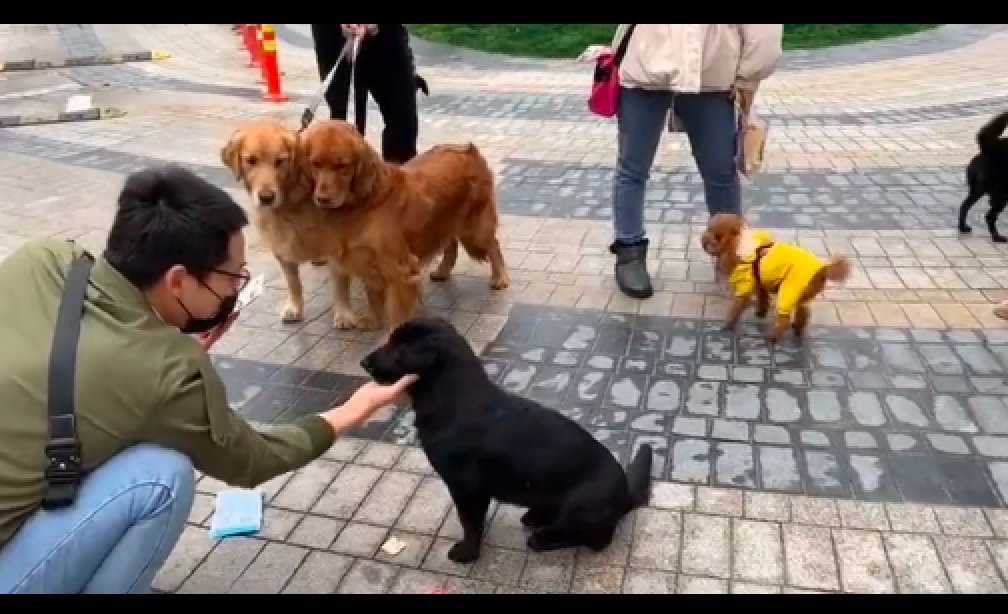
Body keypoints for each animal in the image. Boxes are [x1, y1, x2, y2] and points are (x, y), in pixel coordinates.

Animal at [362, 318, 653, 564]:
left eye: (400, 346)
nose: (364, 362)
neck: (453, 396)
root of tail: (626, 494)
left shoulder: (466, 488)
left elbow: (470, 523)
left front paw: (467, 553)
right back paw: (536, 515)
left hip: (581, 509)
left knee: (594, 541)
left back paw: (544, 538)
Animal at [959, 108, 1008, 242]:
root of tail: (987, 149)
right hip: (1000, 194)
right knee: (989, 216)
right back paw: (997, 237)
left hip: (977, 190)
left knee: (964, 206)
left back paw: (963, 227)